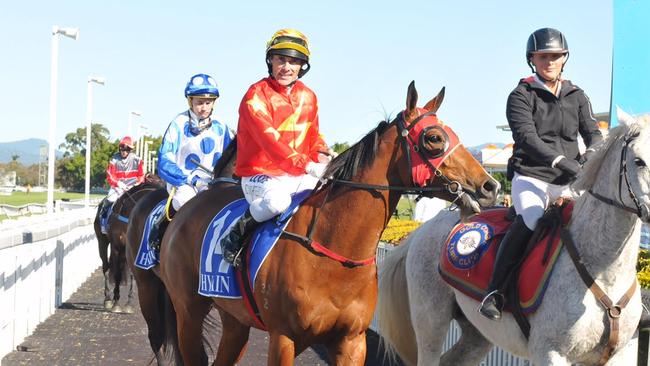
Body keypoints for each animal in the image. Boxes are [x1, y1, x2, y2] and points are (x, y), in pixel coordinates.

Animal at [93, 174, 165, 312]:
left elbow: (131, 274)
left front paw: (129, 303)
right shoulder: (116, 246)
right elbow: (116, 273)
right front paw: (116, 303)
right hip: (102, 241)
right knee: (106, 267)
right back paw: (108, 299)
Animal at [156, 82, 496, 366]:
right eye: (434, 138)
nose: (489, 186)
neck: (335, 252)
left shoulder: (352, 341)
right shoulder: (283, 338)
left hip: (234, 317)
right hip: (188, 311)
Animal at [374, 108, 648, 366]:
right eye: (639, 161)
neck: (604, 271)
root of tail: (425, 228)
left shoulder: (620, 354)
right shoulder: (550, 353)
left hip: (476, 334)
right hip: (431, 322)